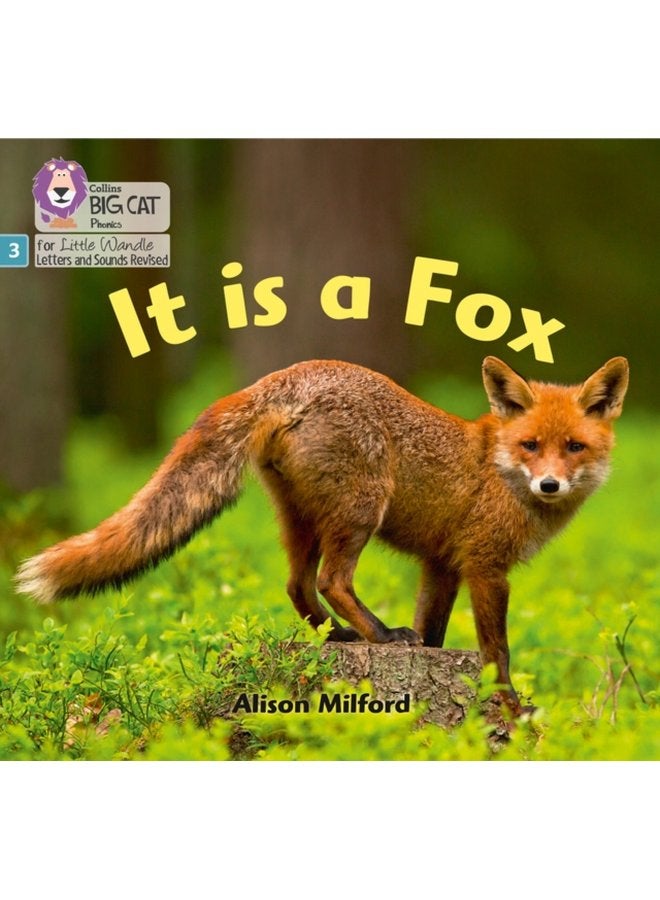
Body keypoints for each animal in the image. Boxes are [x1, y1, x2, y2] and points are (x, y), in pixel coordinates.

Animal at [15, 355, 628, 714]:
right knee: (333, 580)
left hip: (302, 520)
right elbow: (497, 649)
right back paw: (379, 636)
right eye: (532, 446)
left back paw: (339, 638)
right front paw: (508, 705)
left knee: (297, 586)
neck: (498, 469)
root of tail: (283, 376)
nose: (549, 484)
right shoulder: (485, 566)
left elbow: (434, 633)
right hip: (359, 511)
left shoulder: (441, 565)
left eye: (574, 446)